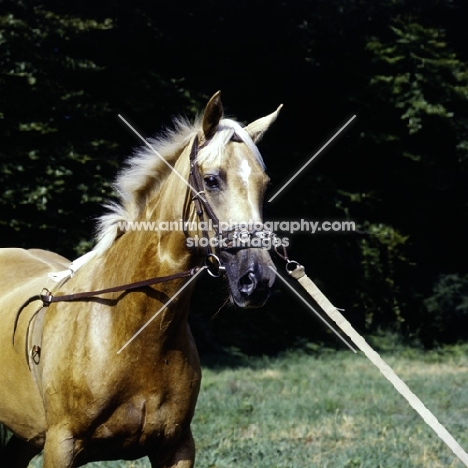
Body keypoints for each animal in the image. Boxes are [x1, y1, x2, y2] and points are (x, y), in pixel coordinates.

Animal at [0, 92, 282, 468]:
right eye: (212, 180)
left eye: (264, 186)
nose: (257, 279)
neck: (130, 328)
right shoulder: (60, 445)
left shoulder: (176, 447)